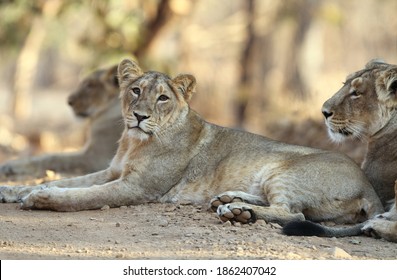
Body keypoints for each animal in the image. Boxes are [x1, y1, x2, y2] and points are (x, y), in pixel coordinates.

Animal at [0, 58, 382, 229]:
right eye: (135, 90)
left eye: (163, 98)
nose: (139, 116)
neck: (133, 142)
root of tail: (370, 187)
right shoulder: (111, 170)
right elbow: (66, 180)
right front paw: (12, 190)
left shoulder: (136, 186)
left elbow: (83, 195)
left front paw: (42, 198)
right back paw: (229, 200)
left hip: (284, 171)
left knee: (293, 212)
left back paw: (236, 212)